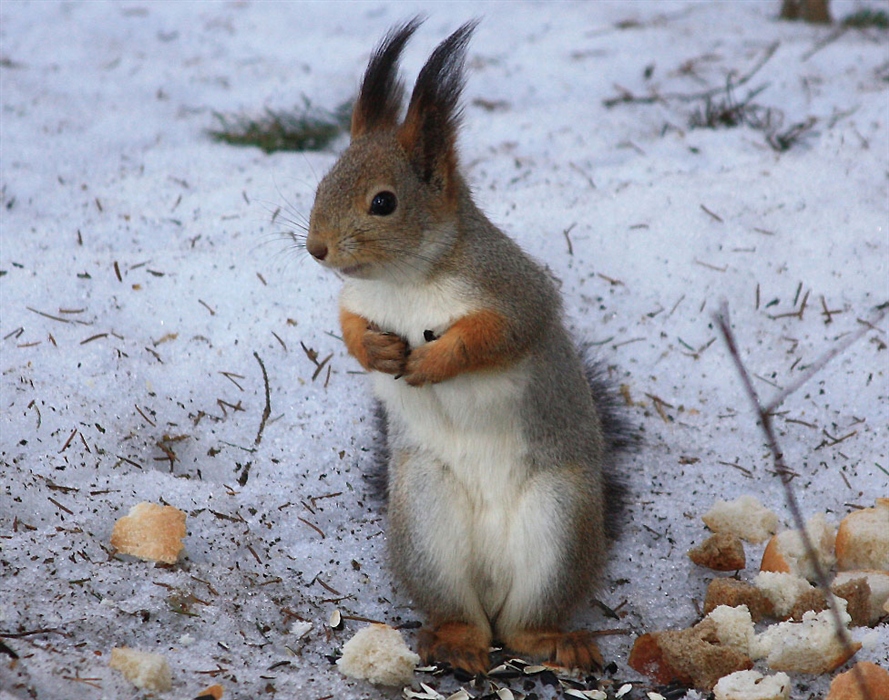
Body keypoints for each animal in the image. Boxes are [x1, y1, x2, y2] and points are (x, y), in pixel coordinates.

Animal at [308, 16, 628, 672]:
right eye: (323, 179)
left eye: (384, 202)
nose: (316, 248)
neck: (404, 282)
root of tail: (493, 584)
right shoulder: (357, 301)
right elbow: (349, 329)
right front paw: (376, 353)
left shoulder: (514, 291)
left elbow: (496, 334)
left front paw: (436, 358)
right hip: (422, 514)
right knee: (467, 618)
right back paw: (458, 642)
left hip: (561, 515)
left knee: (526, 621)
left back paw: (550, 640)